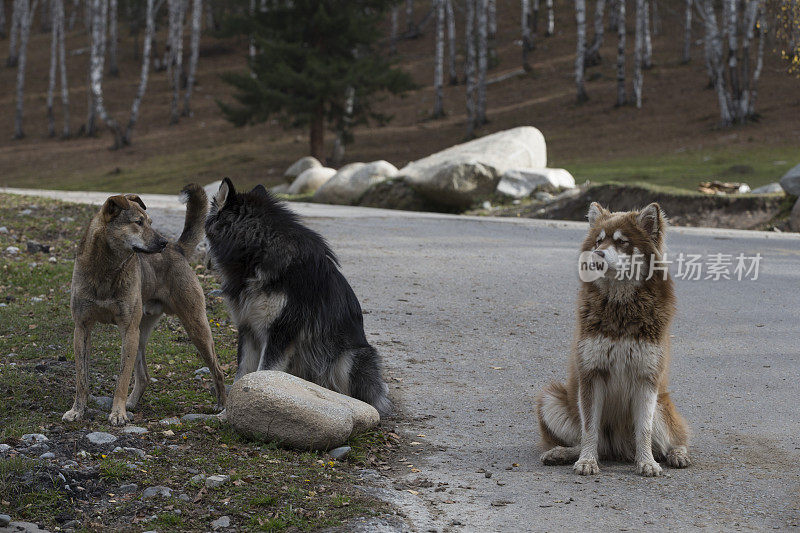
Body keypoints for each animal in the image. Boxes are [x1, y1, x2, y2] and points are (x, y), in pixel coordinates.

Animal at [61, 185, 225, 426]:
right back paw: (131, 403)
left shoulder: (127, 330)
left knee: (218, 370)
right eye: (138, 222)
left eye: (150, 221)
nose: (163, 242)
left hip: (195, 327)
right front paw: (77, 410)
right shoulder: (81, 328)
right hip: (141, 333)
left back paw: (222, 407)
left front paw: (117, 413)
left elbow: (122, 378)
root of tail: (177, 249)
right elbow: (82, 377)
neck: (106, 270)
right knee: (145, 376)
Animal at [205, 178, 390, 416]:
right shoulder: (248, 329)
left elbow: (264, 371)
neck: (258, 249)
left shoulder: (280, 332)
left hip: (350, 358)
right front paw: (228, 413)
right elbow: (243, 374)